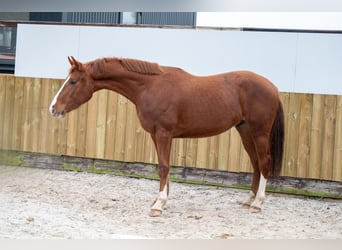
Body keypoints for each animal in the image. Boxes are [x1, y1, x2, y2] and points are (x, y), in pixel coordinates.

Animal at [49, 55, 284, 216]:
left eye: (73, 81)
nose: (53, 108)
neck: (150, 87)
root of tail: (272, 87)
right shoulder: (156, 135)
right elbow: (164, 167)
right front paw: (160, 200)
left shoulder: (163, 134)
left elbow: (163, 167)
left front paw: (159, 205)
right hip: (244, 130)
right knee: (255, 164)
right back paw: (248, 200)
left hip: (259, 132)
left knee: (263, 162)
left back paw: (257, 203)